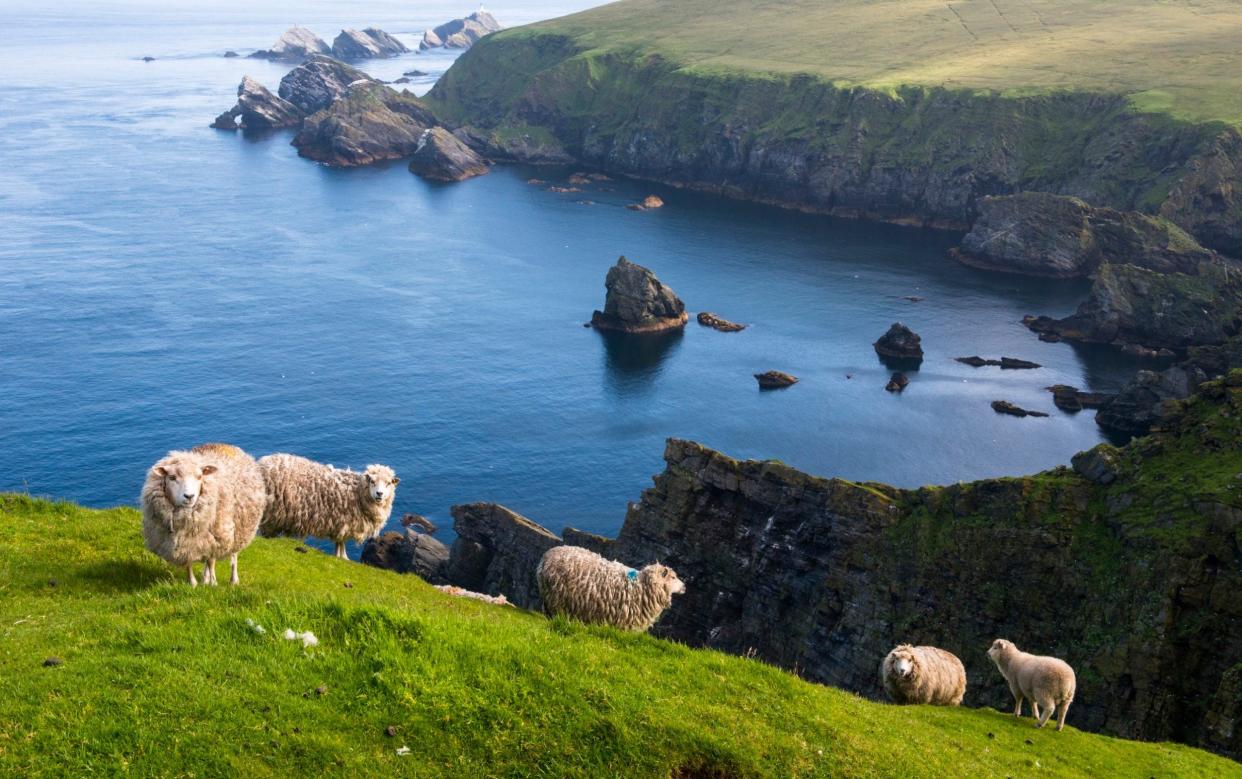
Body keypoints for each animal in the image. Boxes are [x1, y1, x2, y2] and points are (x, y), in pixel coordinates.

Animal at [139, 442, 265, 588]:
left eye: (199, 477)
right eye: (172, 477)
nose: (189, 496)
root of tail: (224, 444)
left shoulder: (215, 538)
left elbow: (211, 561)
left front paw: (213, 583)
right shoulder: (186, 543)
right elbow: (189, 562)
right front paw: (193, 583)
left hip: (238, 530)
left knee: (233, 556)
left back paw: (233, 580)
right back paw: (205, 578)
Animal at [257, 452, 397, 561]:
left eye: (388, 483)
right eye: (372, 481)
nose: (379, 494)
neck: (357, 492)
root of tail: (263, 463)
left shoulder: (341, 524)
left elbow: (340, 542)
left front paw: (340, 556)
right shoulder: (343, 523)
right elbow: (341, 542)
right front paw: (343, 557)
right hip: (271, 513)